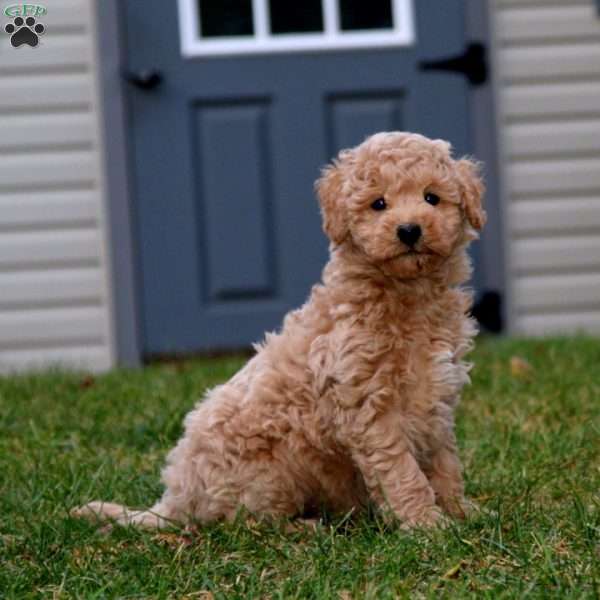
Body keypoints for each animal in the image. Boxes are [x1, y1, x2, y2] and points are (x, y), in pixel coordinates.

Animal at [76, 130, 488, 528]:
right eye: (378, 204)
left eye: (431, 197)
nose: (409, 230)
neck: (408, 297)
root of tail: (175, 499)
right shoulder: (368, 408)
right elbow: (403, 472)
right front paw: (427, 526)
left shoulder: (436, 399)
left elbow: (445, 465)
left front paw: (462, 513)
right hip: (270, 472)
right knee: (243, 523)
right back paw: (303, 528)